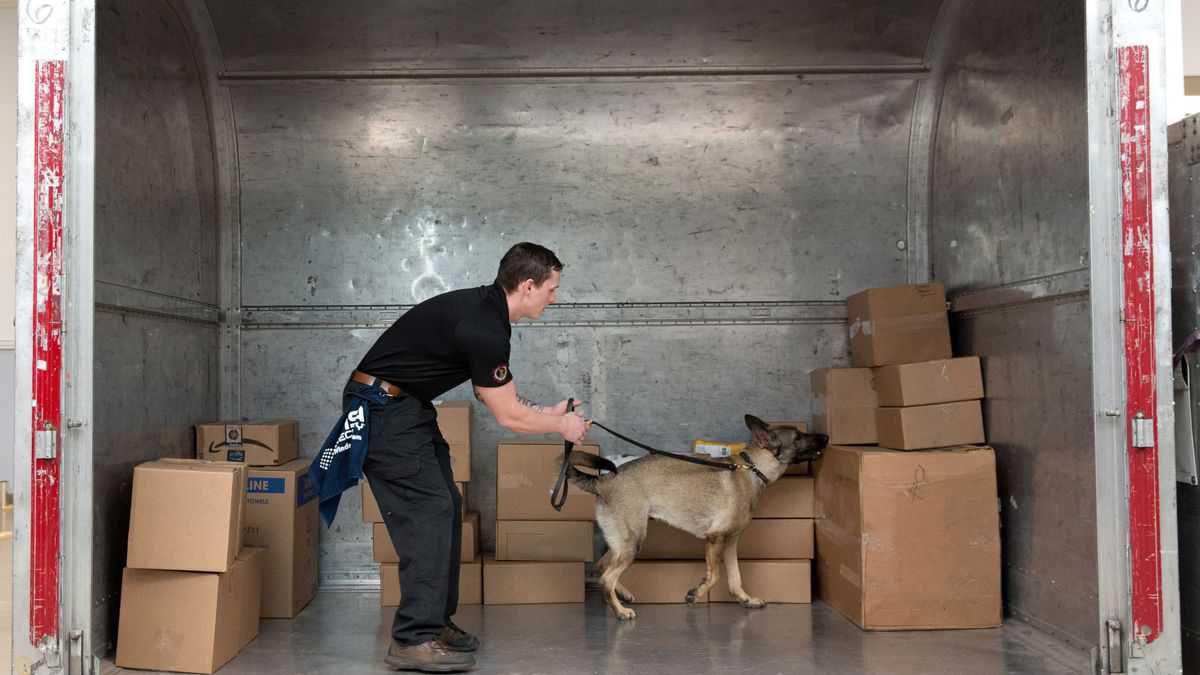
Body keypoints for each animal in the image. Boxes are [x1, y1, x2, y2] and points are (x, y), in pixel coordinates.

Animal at [566, 415, 830, 619]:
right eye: (798, 437)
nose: (827, 437)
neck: (752, 468)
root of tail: (603, 481)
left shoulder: (730, 542)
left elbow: (735, 577)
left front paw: (745, 599)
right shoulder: (715, 538)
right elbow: (715, 576)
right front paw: (696, 594)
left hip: (623, 543)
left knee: (603, 566)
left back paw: (622, 596)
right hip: (632, 542)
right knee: (606, 578)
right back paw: (620, 611)